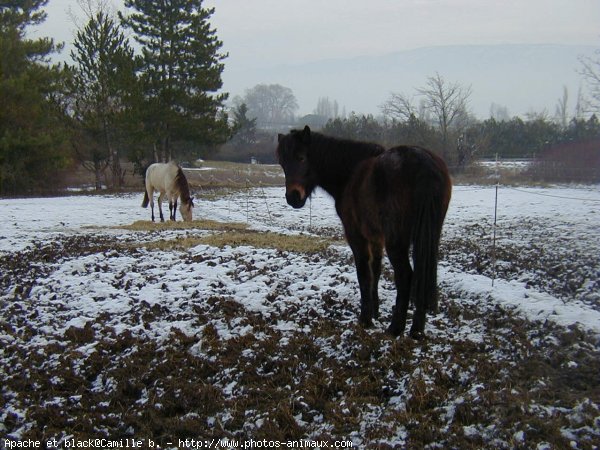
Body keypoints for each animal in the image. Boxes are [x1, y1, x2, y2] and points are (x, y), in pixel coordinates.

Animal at [276, 125, 450, 338]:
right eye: (282, 163)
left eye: (301, 157)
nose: (293, 197)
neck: (350, 174)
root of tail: (422, 163)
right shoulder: (376, 237)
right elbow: (375, 270)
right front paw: (375, 312)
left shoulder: (357, 236)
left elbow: (363, 274)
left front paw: (365, 319)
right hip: (427, 236)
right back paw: (416, 330)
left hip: (397, 242)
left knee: (405, 276)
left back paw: (395, 329)